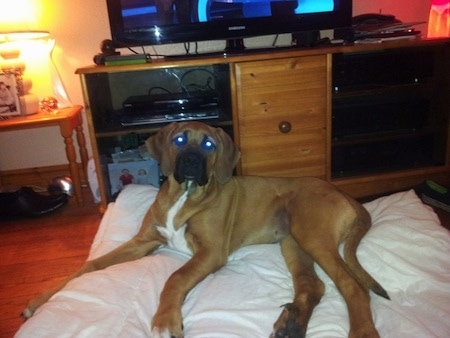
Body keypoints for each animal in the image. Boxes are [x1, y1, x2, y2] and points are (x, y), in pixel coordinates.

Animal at [24, 121, 388, 338]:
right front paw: (40, 299)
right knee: (314, 286)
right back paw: (291, 325)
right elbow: (88, 265)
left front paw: (165, 320)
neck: (184, 193)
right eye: (180, 139)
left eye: (210, 144)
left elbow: (176, 277)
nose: (190, 162)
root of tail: (346, 195)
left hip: (311, 234)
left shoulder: (211, 252)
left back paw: (360, 331)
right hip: (293, 240)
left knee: (353, 287)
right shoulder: (142, 241)